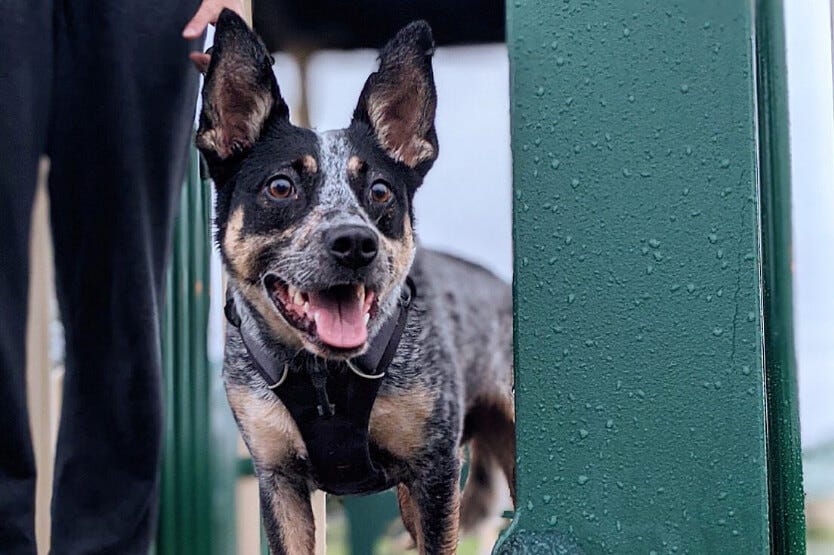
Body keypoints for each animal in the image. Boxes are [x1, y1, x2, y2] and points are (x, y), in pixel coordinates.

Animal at [197, 9, 512, 555]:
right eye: (281, 186)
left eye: (381, 191)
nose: (355, 243)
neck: (323, 376)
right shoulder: (278, 480)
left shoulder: (434, 474)